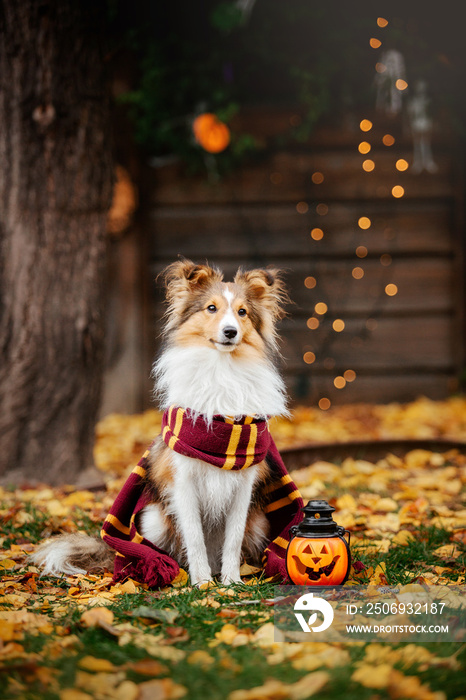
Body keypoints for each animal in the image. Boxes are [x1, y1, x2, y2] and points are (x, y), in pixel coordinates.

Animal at [32, 262, 294, 584]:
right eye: (211, 308)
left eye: (242, 312)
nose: (230, 332)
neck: (221, 371)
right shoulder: (182, 481)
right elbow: (193, 537)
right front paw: (202, 584)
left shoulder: (243, 486)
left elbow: (232, 540)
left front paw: (232, 583)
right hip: (152, 519)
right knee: (166, 550)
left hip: (258, 523)